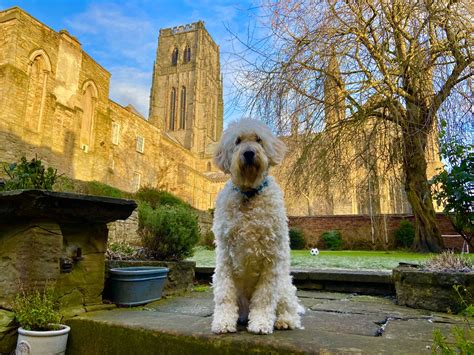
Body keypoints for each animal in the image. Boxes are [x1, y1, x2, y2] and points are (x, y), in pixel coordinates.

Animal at [210, 118, 304, 336]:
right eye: (237, 141)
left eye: (259, 139)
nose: (249, 153)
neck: (249, 194)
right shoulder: (225, 258)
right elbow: (225, 295)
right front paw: (223, 323)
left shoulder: (271, 260)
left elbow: (264, 298)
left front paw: (261, 324)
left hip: (285, 286)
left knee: (289, 309)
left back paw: (284, 321)